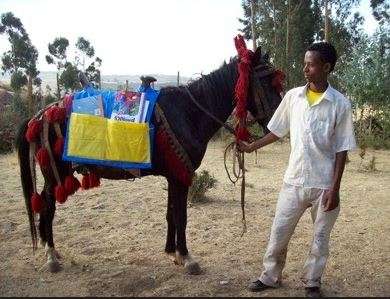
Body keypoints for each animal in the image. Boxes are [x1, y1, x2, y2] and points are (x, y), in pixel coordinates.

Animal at [15, 41, 282, 276]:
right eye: (266, 80)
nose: (275, 124)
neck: (188, 113)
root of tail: (39, 115)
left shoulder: (175, 174)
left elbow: (171, 213)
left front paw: (173, 252)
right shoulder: (180, 176)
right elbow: (181, 216)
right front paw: (187, 257)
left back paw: (51, 251)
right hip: (55, 175)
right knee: (47, 208)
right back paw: (51, 256)